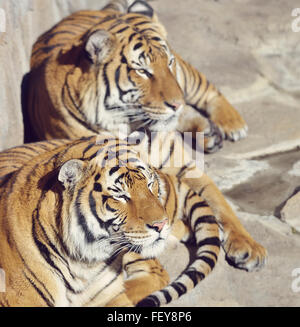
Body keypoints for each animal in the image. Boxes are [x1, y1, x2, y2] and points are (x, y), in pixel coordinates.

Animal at [24, 0, 247, 154]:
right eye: (142, 71)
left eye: (169, 62)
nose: (177, 103)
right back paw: (208, 133)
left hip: (186, 77)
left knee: (207, 89)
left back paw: (233, 126)